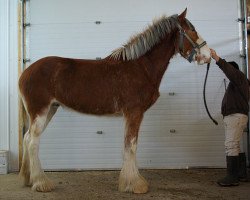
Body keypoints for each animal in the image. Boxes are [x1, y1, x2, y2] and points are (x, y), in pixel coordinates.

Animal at [18, 8, 211, 193]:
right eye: (192, 30)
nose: (208, 55)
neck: (141, 67)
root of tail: (25, 73)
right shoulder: (134, 112)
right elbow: (131, 145)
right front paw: (135, 185)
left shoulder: (130, 115)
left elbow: (127, 145)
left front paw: (128, 182)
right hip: (41, 111)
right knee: (33, 142)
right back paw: (41, 183)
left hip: (51, 109)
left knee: (27, 138)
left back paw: (28, 178)